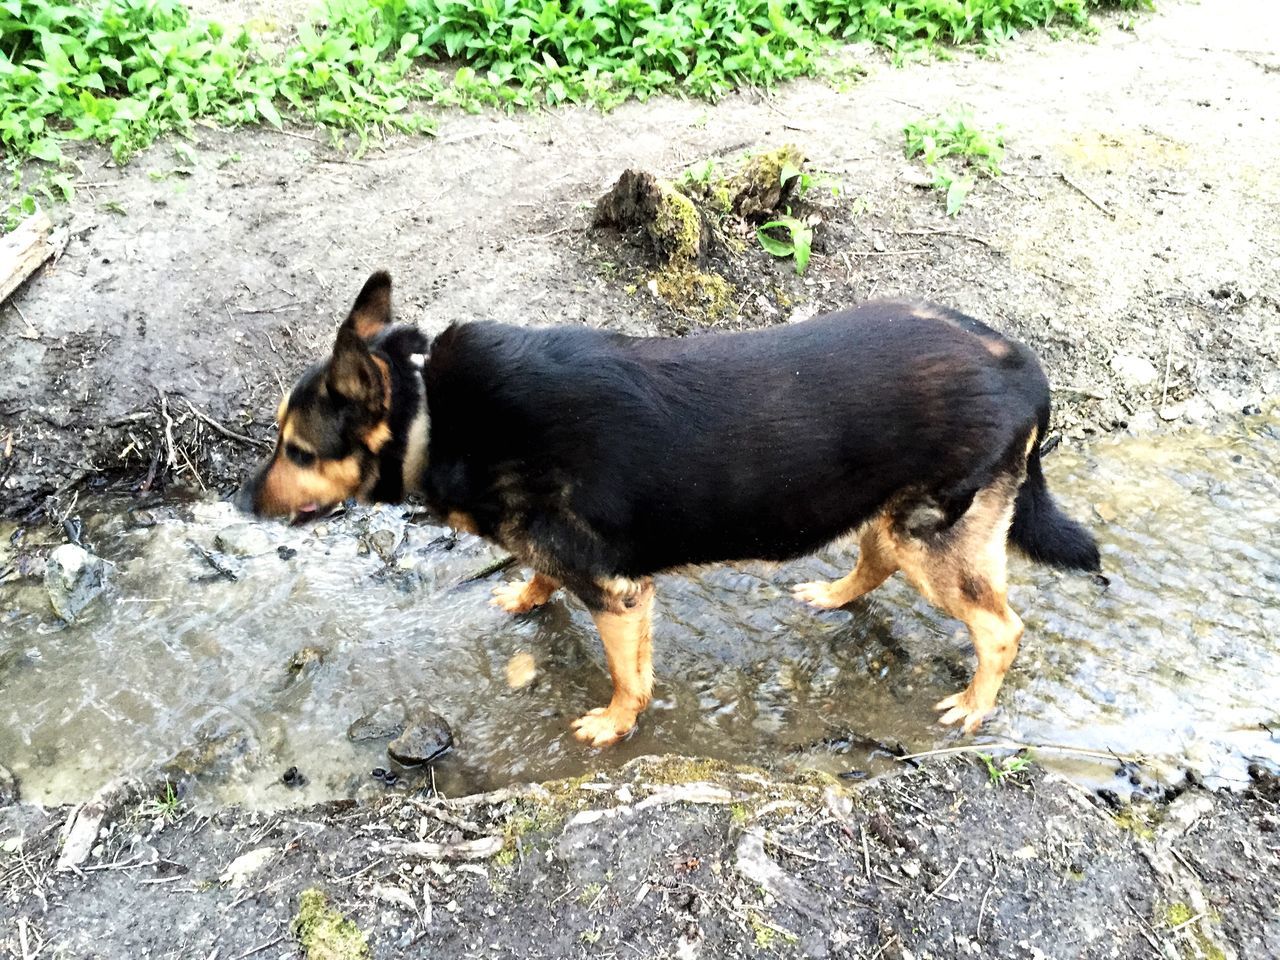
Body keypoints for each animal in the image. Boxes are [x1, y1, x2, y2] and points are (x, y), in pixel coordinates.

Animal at [235, 273, 1095, 747]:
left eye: (297, 451)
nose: (242, 501)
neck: (432, 414)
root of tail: (1020, 363)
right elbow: (540, 574)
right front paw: (527, 593)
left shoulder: (617, 591)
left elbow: (628, 675)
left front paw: (616, 724)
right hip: (896, 515)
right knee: (876, 556)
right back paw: (832, 595)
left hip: (935, 539)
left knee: (1001, 628)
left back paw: (975, 706)